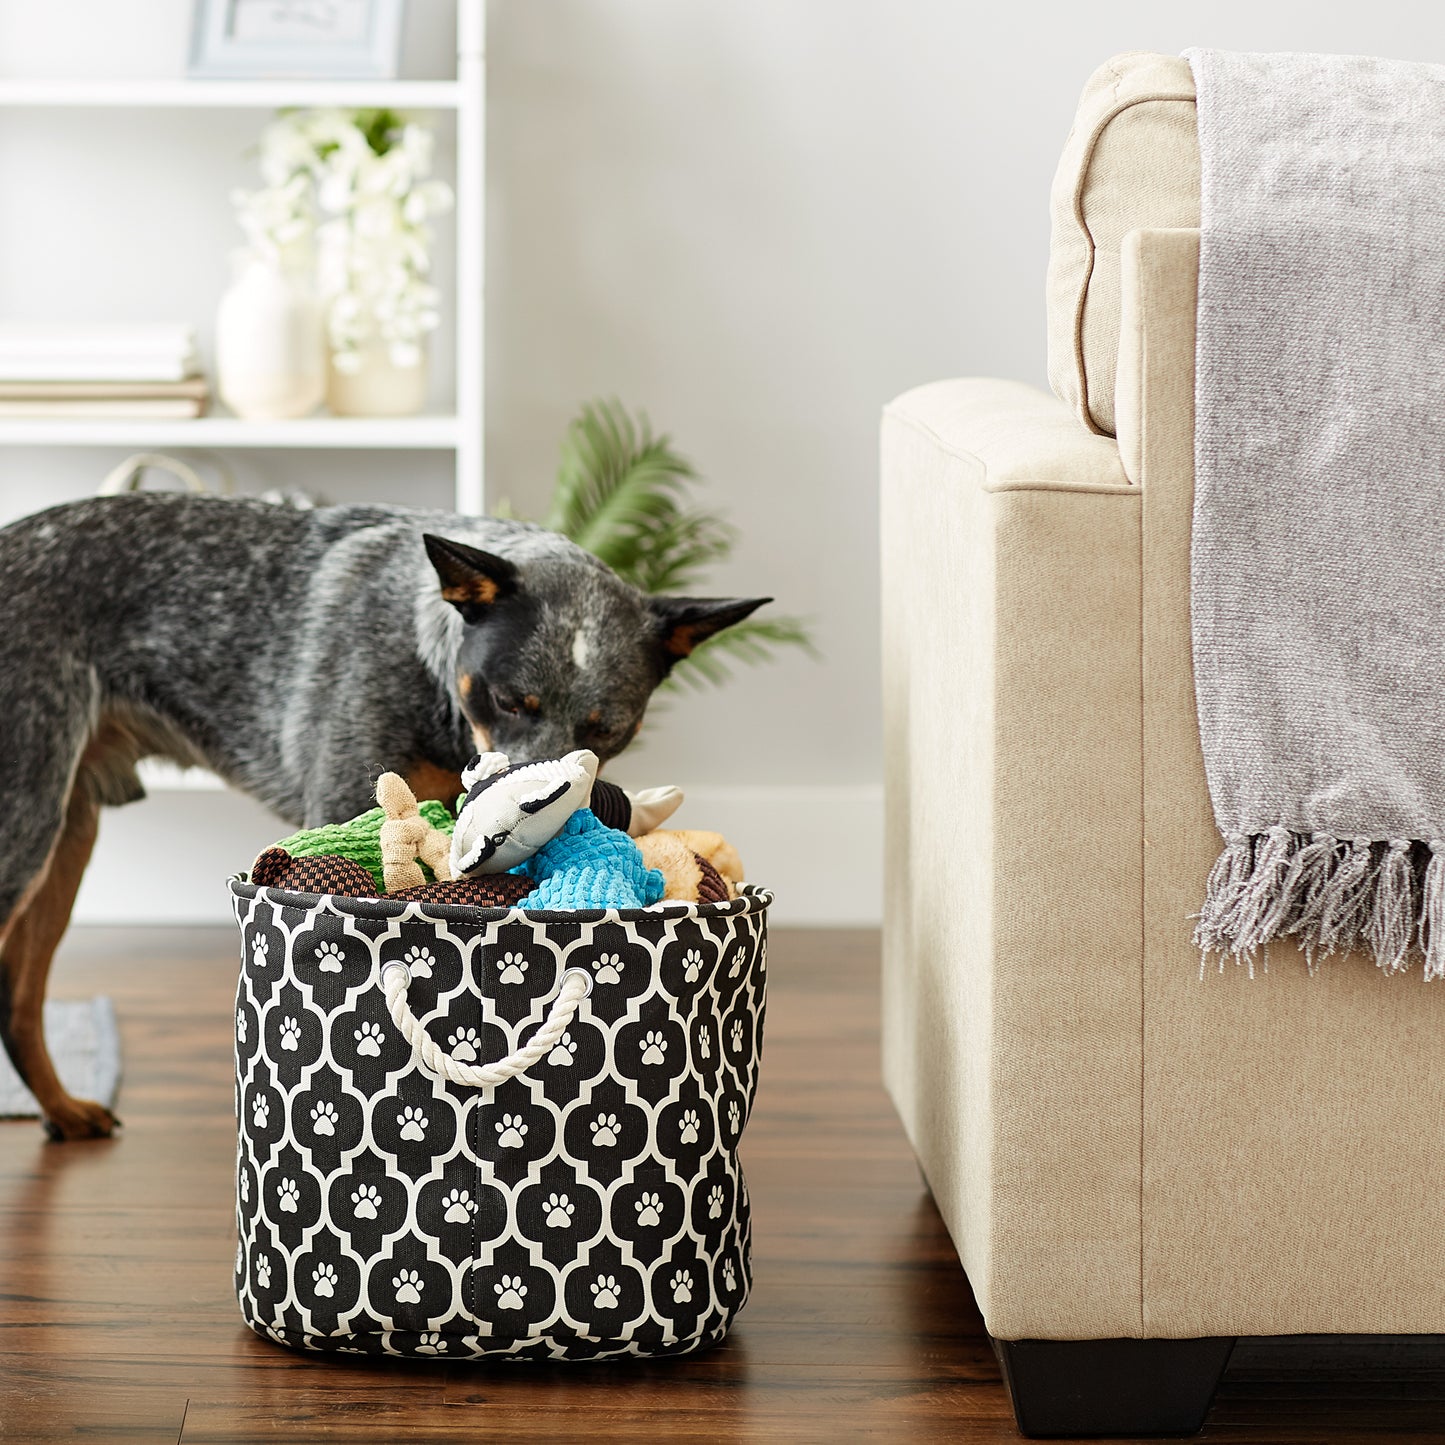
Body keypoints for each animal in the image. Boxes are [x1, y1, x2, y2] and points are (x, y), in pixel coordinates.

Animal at [0, 491, 768, 1132]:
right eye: (508, 699)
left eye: (608, 728)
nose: (542, 797)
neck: (431, 671)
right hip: (27, 819)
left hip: (66, 829)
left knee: (19, 997)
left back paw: (62, 1110)